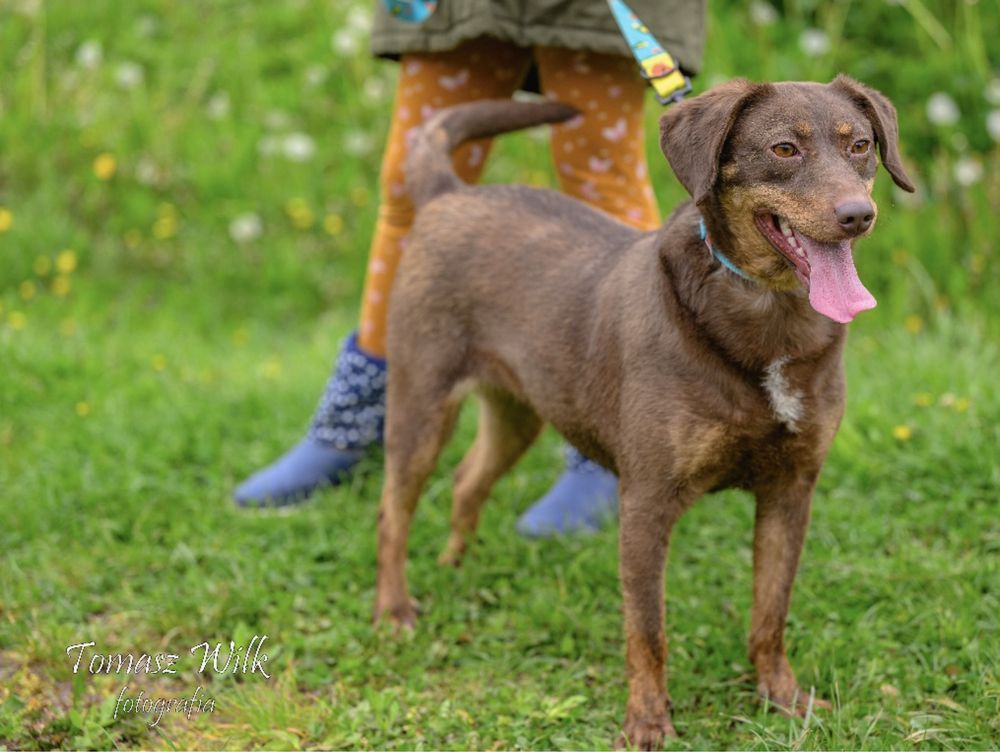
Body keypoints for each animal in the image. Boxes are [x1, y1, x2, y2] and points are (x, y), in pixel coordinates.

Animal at [372, 76, 912, 748]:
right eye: (784, 149)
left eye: (860, 145)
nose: (857, 216)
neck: (769, 316)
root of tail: (448, 194)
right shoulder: (646, 504)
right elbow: (648, 630)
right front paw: (648, 722)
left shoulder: (791, 491)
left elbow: (771, 612)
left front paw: (783, 699)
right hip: (421, 406)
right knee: (393, 510)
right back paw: (395, 610)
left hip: (520, 412)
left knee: (467, 481)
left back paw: (457, 565)